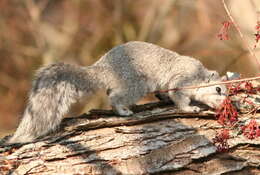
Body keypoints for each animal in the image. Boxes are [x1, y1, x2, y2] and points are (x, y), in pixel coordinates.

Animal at [7, 41, 228, 144]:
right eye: (218, 89)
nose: (223, 105)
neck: (199, 75)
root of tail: (103, 68)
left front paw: (164, 98)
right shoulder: (182, 80)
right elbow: (179, 97)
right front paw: (190, 108)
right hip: (135, 84)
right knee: (114, 97)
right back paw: (122, 111)